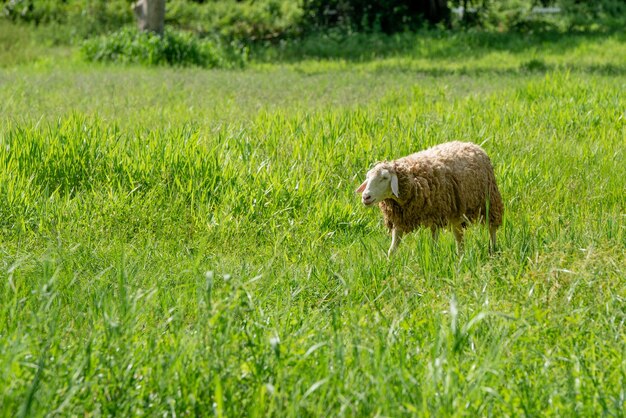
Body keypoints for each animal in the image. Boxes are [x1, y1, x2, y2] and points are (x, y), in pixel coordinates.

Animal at [356, 142, 502, 256]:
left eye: (385, 177)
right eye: (368, 177)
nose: (366, 196)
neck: (413, 179)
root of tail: (473, 145)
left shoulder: (436, 214)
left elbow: (433, 243)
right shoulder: (400, 219)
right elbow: (392, 249)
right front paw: (389, 265)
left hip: (489, 201)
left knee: (491, 228)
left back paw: (492, 250)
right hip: (457, 212)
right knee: (459, 237)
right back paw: (461, 257)